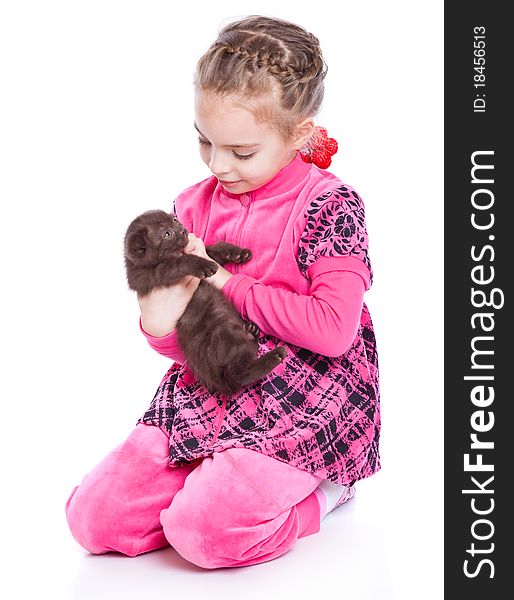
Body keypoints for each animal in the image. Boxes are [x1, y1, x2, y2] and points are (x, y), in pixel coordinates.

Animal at [122, 209, 286, 396]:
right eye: (167, 234)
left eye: (174, 220)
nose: (183, 231)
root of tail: (219, 381)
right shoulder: (152, 274)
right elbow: (177, 263)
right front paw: (201, 264)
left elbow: (213, 248)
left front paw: (237, 253)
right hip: (225, 333)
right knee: (239, 374)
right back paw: (272, 357)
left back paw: (251, 329)